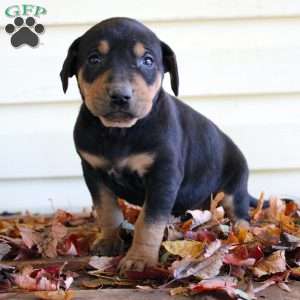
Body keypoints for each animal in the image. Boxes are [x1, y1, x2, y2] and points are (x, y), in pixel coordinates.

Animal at [60, 17, 255, 272]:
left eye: (148, 61)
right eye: (94, 59)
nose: (120, 95)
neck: (119, 133)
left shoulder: (163, 174)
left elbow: (149, 221)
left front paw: (139, 259)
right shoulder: (93, 171)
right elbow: (107, 210)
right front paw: (108, 240)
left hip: (235, 186)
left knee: (241, 213)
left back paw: (243, 234)